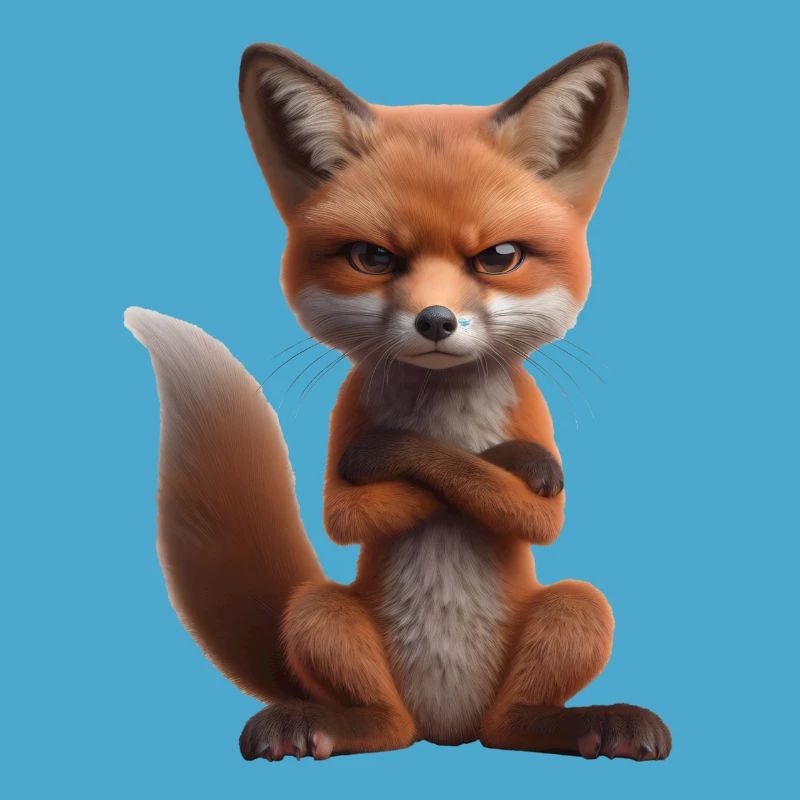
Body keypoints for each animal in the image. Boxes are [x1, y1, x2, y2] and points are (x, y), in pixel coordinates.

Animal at [125, 42, 671, 762]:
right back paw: (317, 724)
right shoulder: (347, 430)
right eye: (372, 258)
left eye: (499, 257)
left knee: (510, 722)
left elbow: (524, 507)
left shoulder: (534, 426)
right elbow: (355, 507)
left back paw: (593, 722)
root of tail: (450, 728)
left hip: (578, 608)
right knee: (388, 725)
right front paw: (446, 457)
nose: (435, 321)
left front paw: (512, 463)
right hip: (321, 613)